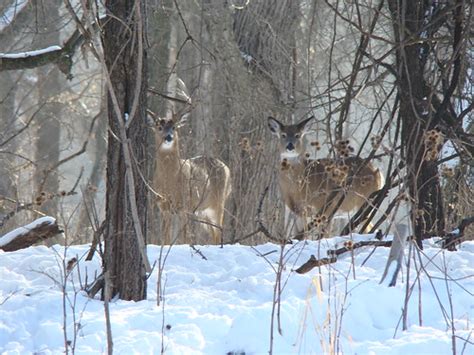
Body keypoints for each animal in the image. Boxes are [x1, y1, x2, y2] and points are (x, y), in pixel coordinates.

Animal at [152, 89, 231, 246]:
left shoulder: (186, 206)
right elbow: (165, 240)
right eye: (159, 127)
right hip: (203, 212)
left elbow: (186, 238)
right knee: (213, 234)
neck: (170, 181)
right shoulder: (163, 206)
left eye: (174, 127)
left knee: (219, 232)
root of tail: (227, 168)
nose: (168, 137)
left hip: (218, 203)